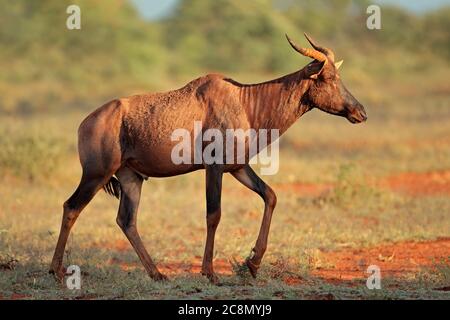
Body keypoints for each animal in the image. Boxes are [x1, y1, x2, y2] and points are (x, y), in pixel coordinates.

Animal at [50, 33, 366, 284]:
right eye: (328, 77)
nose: (360, 112)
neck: (244, 100)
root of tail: (85, 123)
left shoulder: (238, 168)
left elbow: (271, 196)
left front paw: (252, 264)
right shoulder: (213, 168)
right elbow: (214, 214)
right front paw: (210, 273)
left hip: (131, 178)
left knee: (126, 220)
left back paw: (157, 274)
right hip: (96, 174)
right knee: (71, 207)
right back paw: (56, 271)